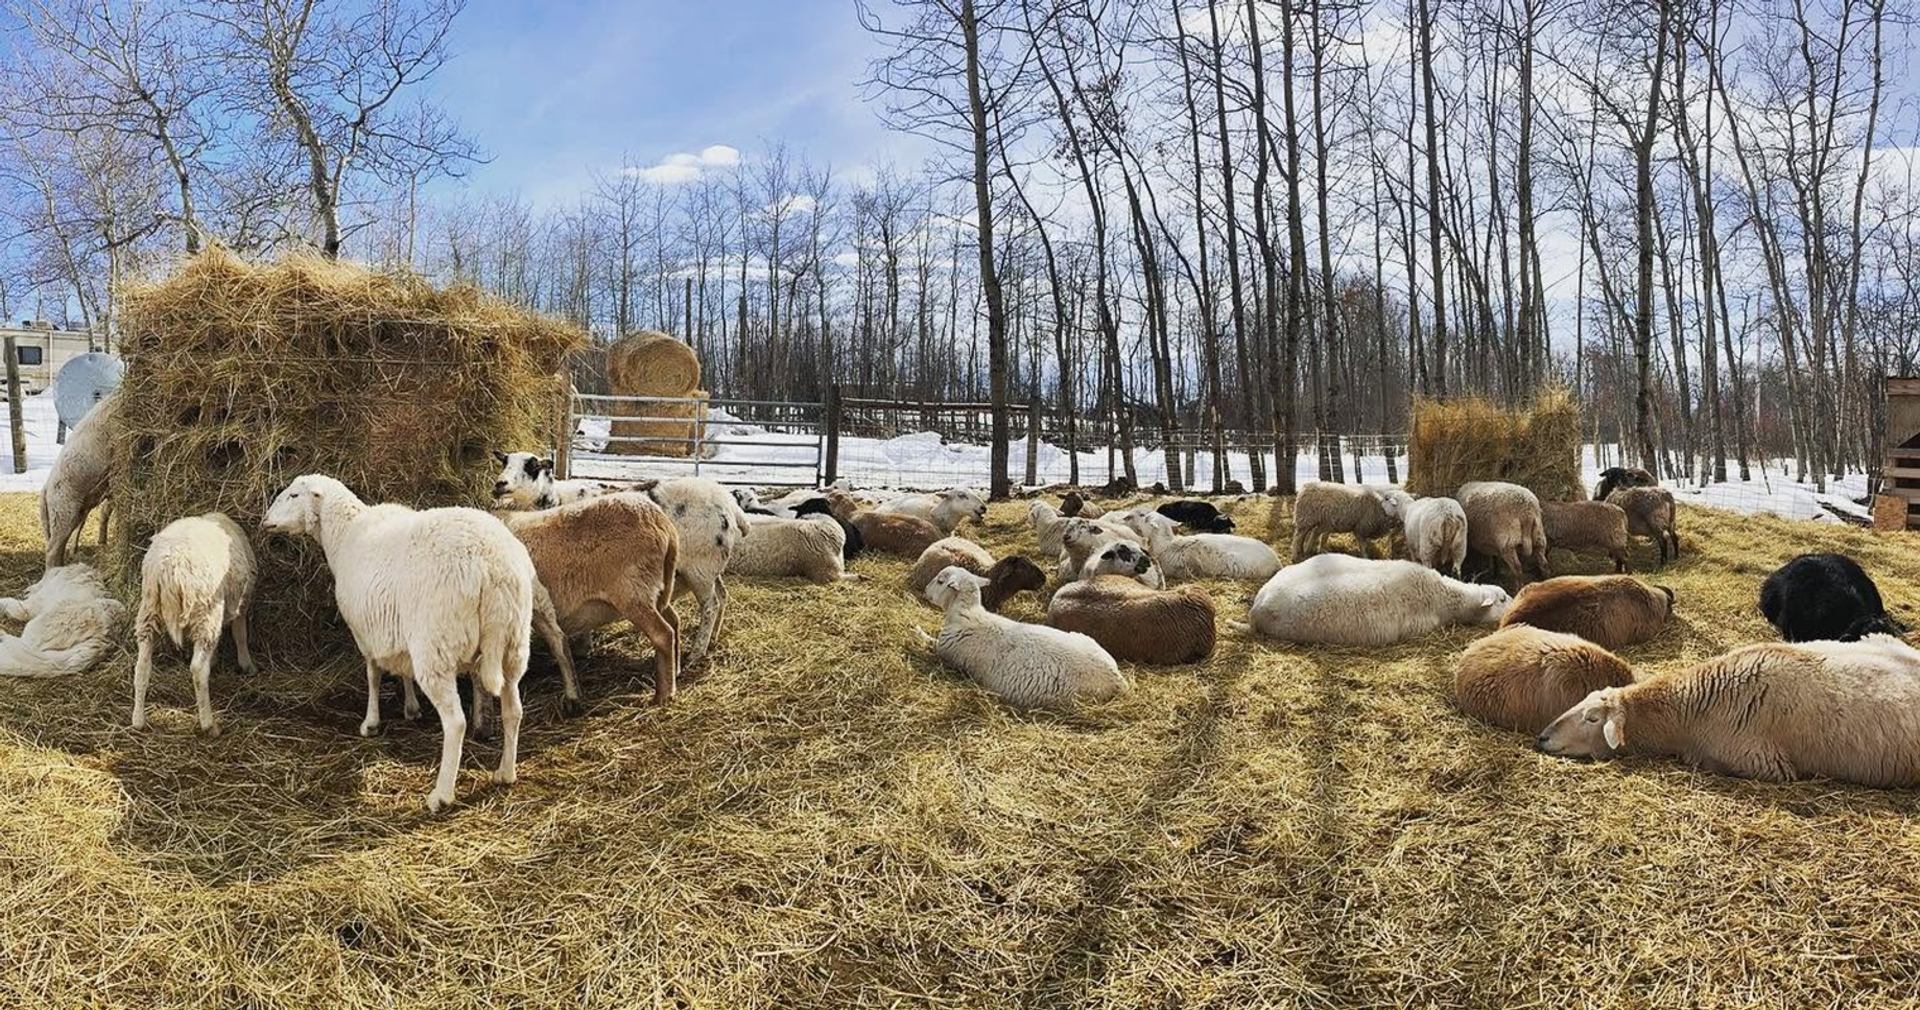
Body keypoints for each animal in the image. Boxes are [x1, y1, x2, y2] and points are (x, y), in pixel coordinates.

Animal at [130, 513, 258, 735]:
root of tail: (172, 567)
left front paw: (216, 659)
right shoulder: (241, 602)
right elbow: (240, 634)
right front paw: (246, 664)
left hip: (149, 609)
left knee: (142, 665)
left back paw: (138, 720)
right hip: (205, 610)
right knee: (198, 669)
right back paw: (209, 724)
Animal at [261, 474, 535, 813]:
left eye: (294, 495)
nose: (265, 521)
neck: (345, 534)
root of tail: (492, 566)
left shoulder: (365, 634)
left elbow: (373, 676)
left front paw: (371, 723)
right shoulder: (398, 631)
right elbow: (404, 671)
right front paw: (411, 707)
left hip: (436, 646)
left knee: (455, 722)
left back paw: (441, 795)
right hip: (514, 643)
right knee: (514, 711)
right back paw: (505, 773)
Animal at [498, 492, 680, 707]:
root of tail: (660, 521)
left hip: (634, 593)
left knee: (663, 634)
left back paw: (663, 695)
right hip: (658, 591)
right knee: (674, 621)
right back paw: (675, 671)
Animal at [917, 565, 1128, 711]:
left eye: (940, 581)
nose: (925, 590)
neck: (967, 613)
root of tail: (1117, 680)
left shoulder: (946, 652)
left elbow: (928, 640)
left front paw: (917, 629)